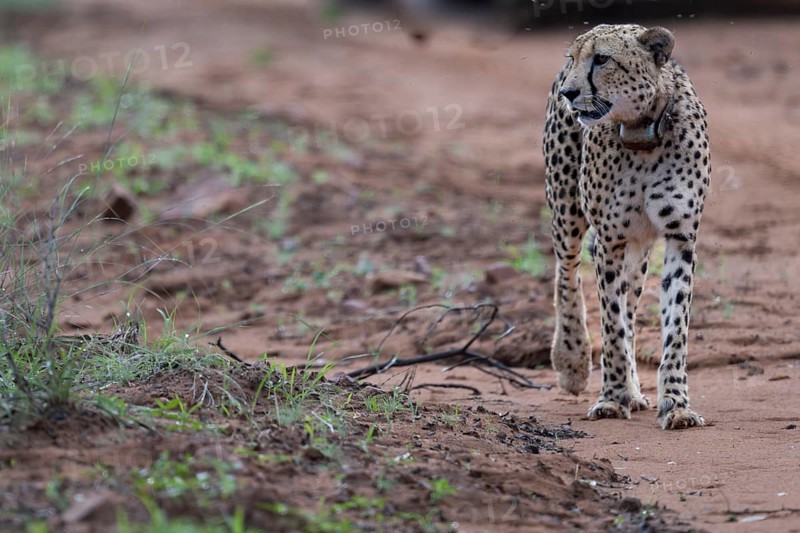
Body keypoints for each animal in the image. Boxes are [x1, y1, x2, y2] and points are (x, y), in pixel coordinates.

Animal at [542, 24, 710, 430]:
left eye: (602, 59)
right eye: (575, 57)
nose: (570, 93)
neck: (641, 134)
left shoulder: (681, 238)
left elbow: (675, 327)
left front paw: (676, 403)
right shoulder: (610, 240)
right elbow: (611, 325)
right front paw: (611, 398)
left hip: (637, 249)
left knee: (630, 305)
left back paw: (635, 391)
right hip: (567, 208)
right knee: (566, 273)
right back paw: (572, 360)